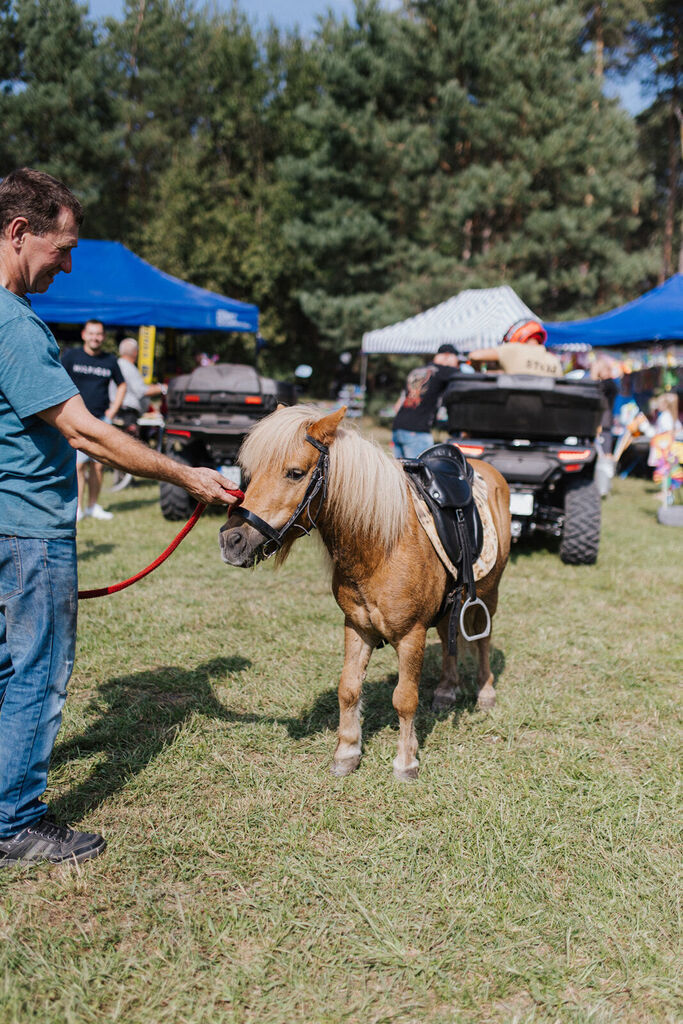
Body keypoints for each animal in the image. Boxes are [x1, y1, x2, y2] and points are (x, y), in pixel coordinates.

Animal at [222, 403, 509, 778]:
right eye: (250, 472)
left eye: (295, 473)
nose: (231, 540)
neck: (382, 547)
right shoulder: (356, 626)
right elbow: (348, 688)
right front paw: (347, 753)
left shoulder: (411, 635)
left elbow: (404, 698)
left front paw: (406, 761)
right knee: (449, 638)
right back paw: (446, 691)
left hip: (488, 594)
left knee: (482, 639)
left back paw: (485, 693)